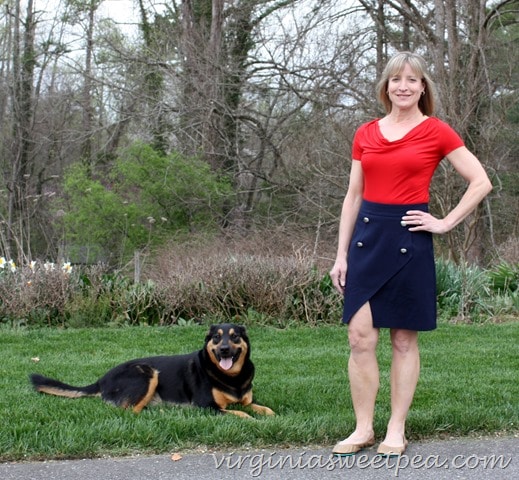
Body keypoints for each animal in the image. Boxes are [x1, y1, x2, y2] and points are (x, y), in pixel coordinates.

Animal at [29, 324, 274, 418]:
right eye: (216, 337)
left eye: (234, 336)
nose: (223, 349)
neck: (231, 377)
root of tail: (102, 379)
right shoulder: (207, 406)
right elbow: (239, 413)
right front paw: (250, 419)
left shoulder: (247, 400)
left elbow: (261, 408)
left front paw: (269, 414)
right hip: (146, 373)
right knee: (129, 412)